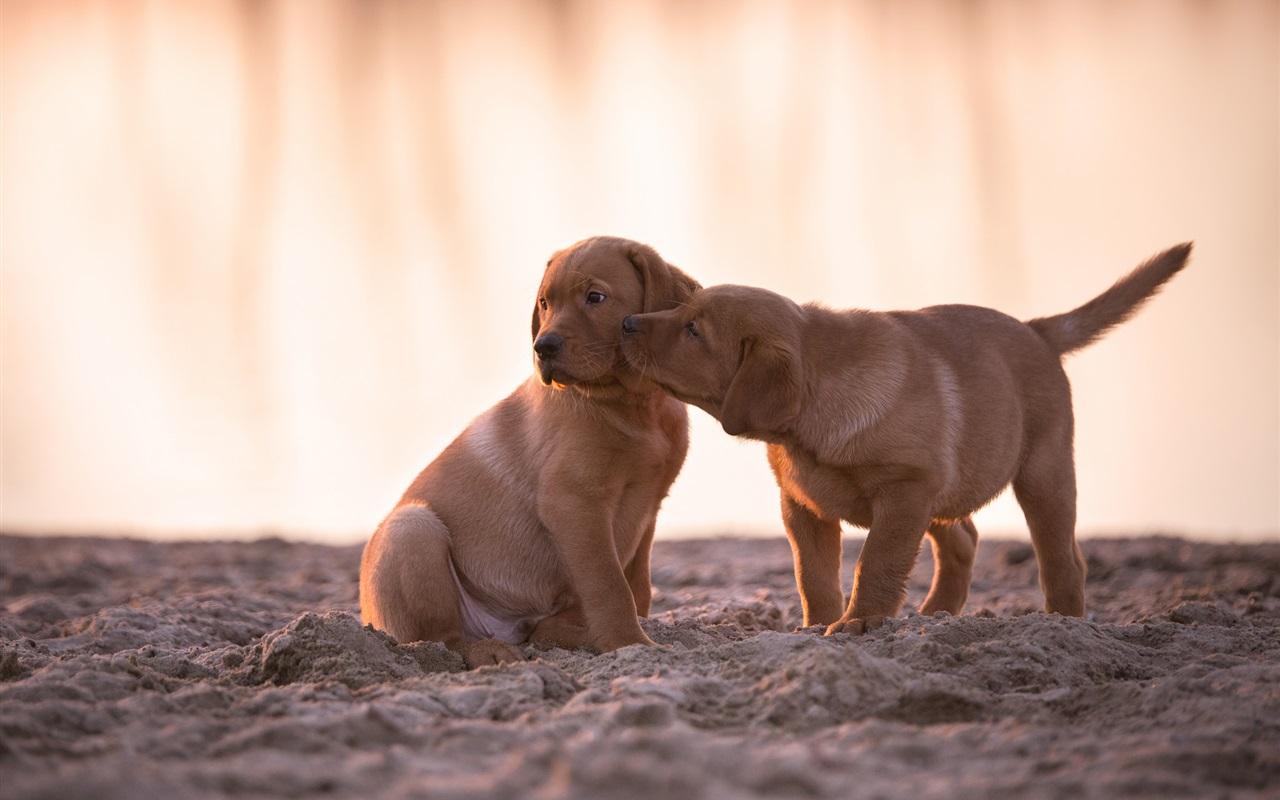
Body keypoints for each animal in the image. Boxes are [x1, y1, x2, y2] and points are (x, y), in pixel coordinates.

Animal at [360, 234, 701, 665]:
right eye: (544, 303)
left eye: (595, 297)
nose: (543, 347)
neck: (635, 405)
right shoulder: (573, 502)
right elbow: (611, 586)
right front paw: (630, 643)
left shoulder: (649, 504)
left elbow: (638, 585)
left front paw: (632, 635)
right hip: (413, 528)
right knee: (442, 638)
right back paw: (488, 650)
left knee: (541, 629)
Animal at [619, 241, 1187, 629]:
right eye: (680, 309)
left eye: (694, 330)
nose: (627, 323)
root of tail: (1035, 329)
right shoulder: (803, 504)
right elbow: (812, 573)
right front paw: (818, 624)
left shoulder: (903, 491)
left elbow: (877, 563)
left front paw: (860, 622)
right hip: (948, 486)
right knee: (962, 538)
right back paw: (937, 613)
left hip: (1042, 473)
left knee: (1062, 557)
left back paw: (1062, 619)